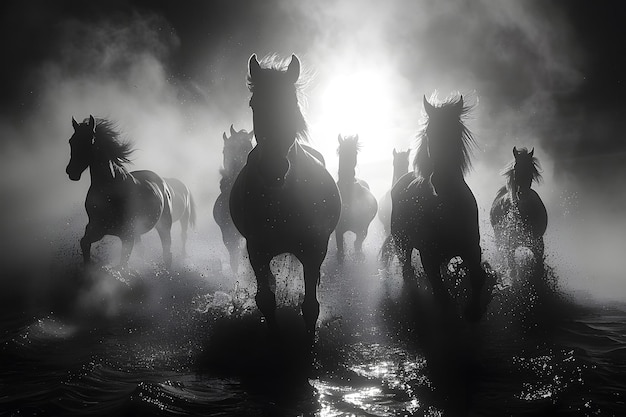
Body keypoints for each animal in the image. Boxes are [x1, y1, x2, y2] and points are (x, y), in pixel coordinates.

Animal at [65, 115, 173, 268]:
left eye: (89, 141)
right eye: (71, 141)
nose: (71, 171)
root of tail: (162, 183)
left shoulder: (126, 235)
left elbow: (122, 264)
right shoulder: (95, 228)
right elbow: (84, 243)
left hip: (164, 226)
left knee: (167, 252)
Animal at [230, 54, 342, 342]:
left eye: (290, 103)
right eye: (254, 104)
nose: (273, 169)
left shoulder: (314, 251)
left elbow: (310, 306)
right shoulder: (257, 251)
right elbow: (266, 300)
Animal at [380, 96, 488, 320]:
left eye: (455, 131)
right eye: (430, 133)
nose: (442, 180)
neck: (446, 208)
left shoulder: (472, 249)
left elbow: (477, 278)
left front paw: (473, 311)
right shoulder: (428, 257)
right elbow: (441, 294)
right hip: (403, 244)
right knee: (407, 271)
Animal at [488, 146, 544, 276]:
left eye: (531, 168)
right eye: (515, 166)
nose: (522, 194)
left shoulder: (538, 245)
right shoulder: (510, 247)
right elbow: (513, 271)